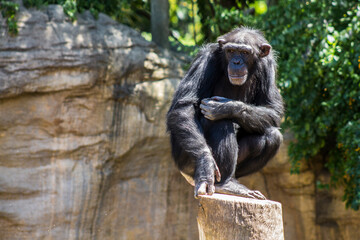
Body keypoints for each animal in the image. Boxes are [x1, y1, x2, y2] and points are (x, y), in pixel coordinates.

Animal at [166, 26, 284, 199]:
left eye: (245, 53)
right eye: (231, 51)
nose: (236, 62)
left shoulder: (268, 66)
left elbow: (272, 109)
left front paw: (226, 107)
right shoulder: (206, 59)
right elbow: (184, 106)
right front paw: (205, 165)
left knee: (272, 136)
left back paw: (232, 181)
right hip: (184, 161)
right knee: (220, 122)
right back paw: (224, 185)